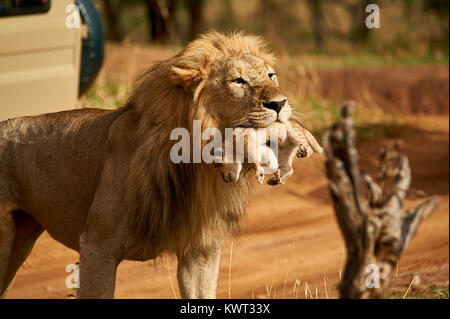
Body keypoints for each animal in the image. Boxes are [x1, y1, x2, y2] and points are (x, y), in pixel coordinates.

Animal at [0, 31, 314, 298]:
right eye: (238, 82)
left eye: (271, 75)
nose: (280, 103)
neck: (198, 165)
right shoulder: (97, 247)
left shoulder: (200, 252)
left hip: (22, 238)